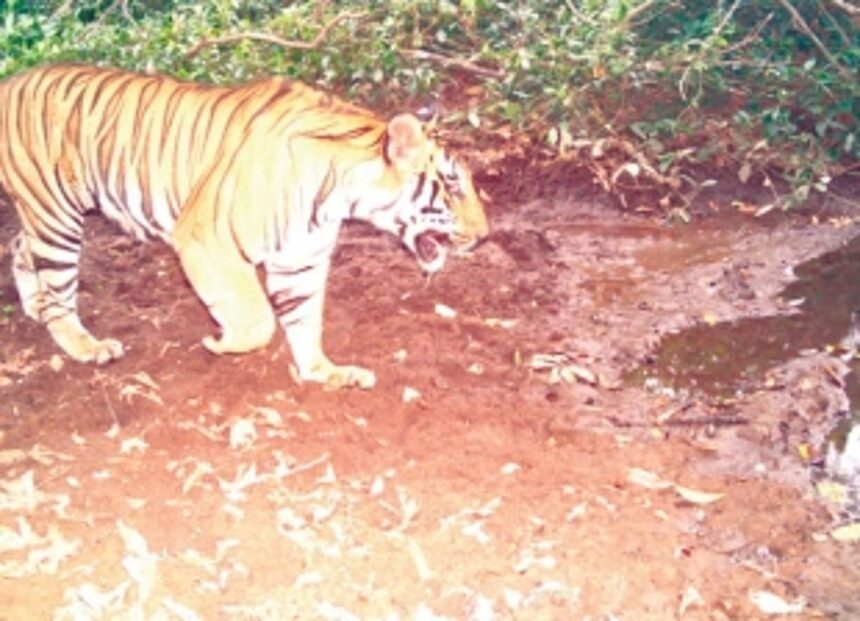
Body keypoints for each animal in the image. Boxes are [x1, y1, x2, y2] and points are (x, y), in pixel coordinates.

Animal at [0, 64, 488, 389]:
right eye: (451, 185)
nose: (485, 236)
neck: (339, 194)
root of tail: (13, 82)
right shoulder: (204, 240)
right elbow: (259, 319)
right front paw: (221, 343)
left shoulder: (300, 259)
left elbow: (304, 320)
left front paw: (323, 372)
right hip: (56, 214)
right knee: (57, 285)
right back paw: (86, 344)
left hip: (49, 213)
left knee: (20, 246)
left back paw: (36, 306)